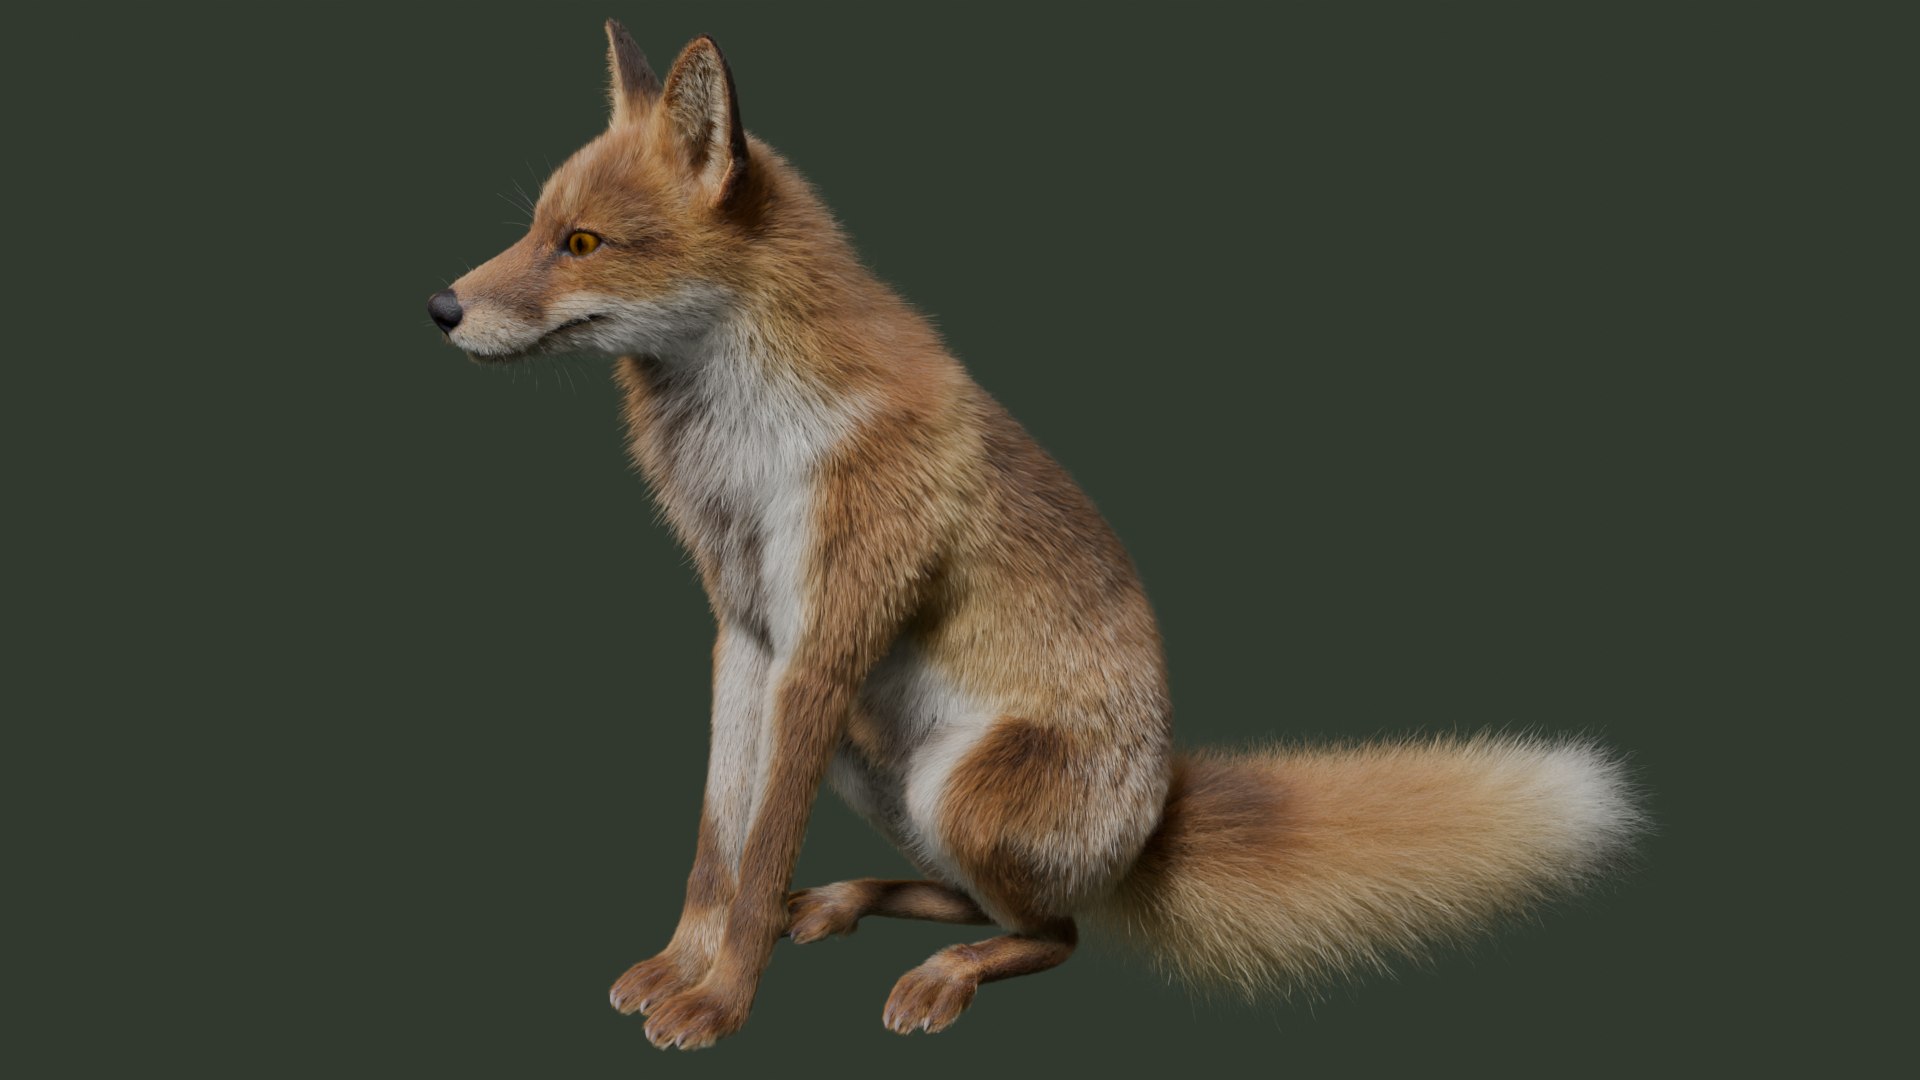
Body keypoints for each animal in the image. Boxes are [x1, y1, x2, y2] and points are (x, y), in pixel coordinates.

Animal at [428, 22, 1643, 1051]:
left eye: (582, 243)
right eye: (534, 229)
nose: (440, 308)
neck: (746, 441)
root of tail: (1152, 820)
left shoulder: (825, 643)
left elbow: (758, 845)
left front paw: (718, 1004)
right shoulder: (747, 636)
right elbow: (718, 846)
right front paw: (686, 964)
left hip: (957, 787)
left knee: (1054, 934)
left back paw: (940, 972)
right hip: (878, 763)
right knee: (973, 899)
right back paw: (840, 904)